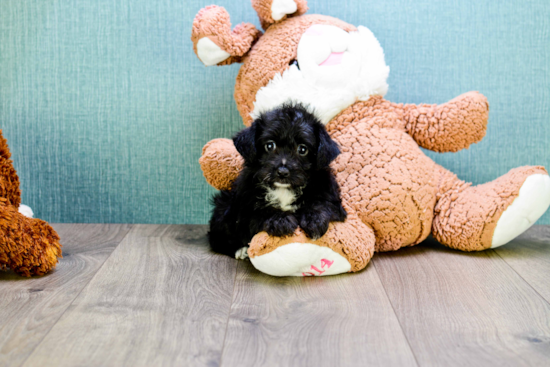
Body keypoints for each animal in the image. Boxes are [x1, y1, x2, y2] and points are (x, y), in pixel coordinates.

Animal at [209, 103, 348, 258]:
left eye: (302, 149)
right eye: (270, 145)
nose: (282, 172)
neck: (284, 189)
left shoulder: (332, 199)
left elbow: (321, 204)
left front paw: (314, 220)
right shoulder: (245, 209)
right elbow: (261, 212)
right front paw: (281, 220)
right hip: (224, 206)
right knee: (217, 238)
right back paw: (241, 250)